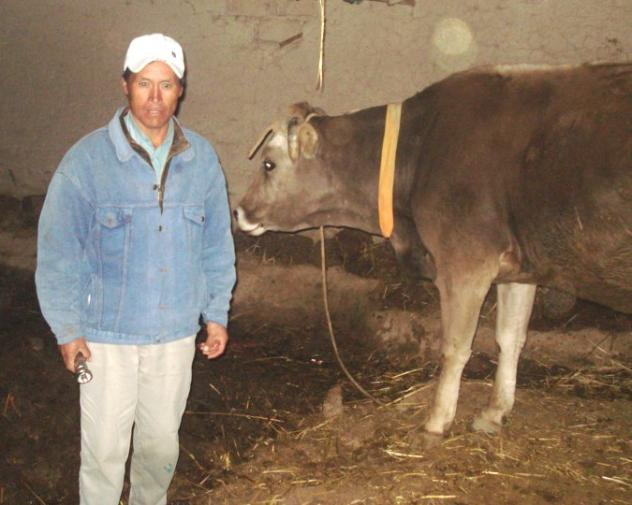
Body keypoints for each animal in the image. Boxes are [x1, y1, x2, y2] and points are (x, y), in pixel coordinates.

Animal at [234, 62, 632, 443]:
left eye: (268, 164)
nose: (238, 211)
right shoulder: (520, 269)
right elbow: (510, 337)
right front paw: (494, 412)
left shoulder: (464, 263)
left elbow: (455, 346)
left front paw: (436, 422)